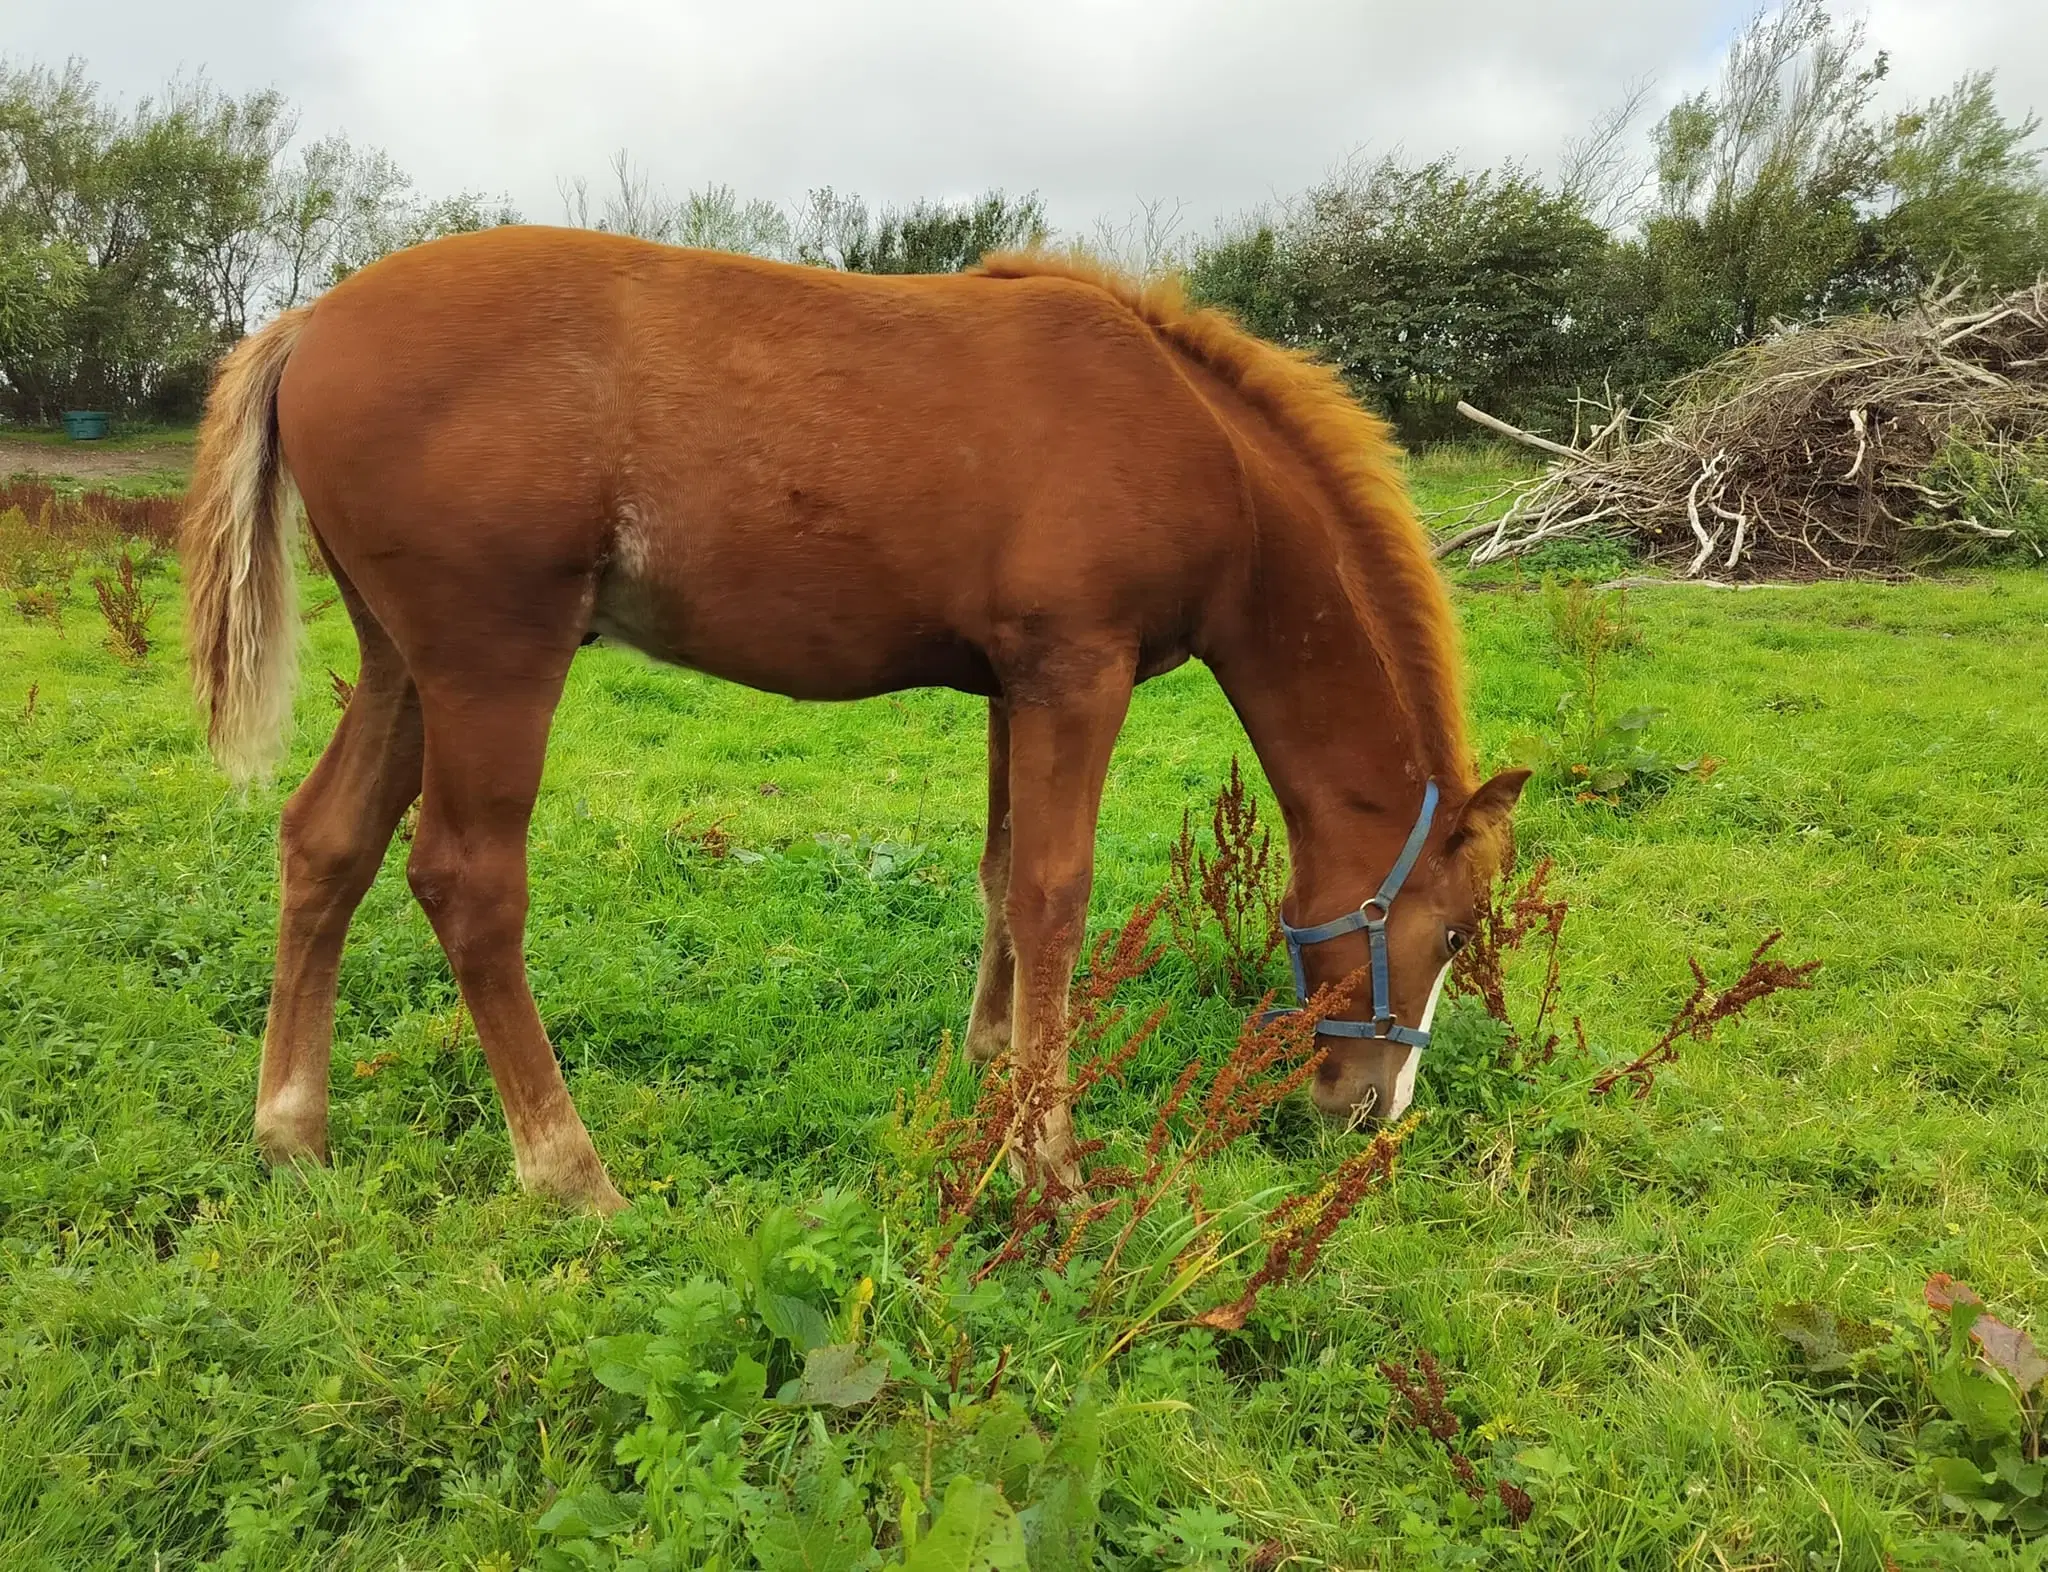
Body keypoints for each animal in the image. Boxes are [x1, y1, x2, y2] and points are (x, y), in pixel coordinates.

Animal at [184, 227, 1531, 1211]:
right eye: (1457, 933)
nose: (1369, 1112)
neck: (1197, 445)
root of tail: (309, 323)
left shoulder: (1013, 687)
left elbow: (1000, 875)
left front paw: (992, 1068)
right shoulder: (1076, 675)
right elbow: (1054, 894)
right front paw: (1046, 1162)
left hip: (399, 665)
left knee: (326, 842)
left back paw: (291, 1132)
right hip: (491, 664)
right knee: (467, 881)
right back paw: (570, 1174)